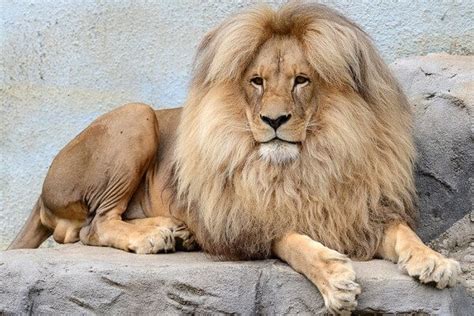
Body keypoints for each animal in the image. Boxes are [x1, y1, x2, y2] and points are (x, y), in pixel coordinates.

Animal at [7, 2, 460, 314]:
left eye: (301, 80)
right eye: (256, 81)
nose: (274, 120)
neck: (307, 163)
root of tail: (41, 193)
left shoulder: (361, 212)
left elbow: (404, 232)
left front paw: (436, 261)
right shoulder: (248, 219)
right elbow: (294, 241)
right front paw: (335, 278)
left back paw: (179, 233)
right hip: (136, 116)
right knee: (93, 226)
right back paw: (155, 235)